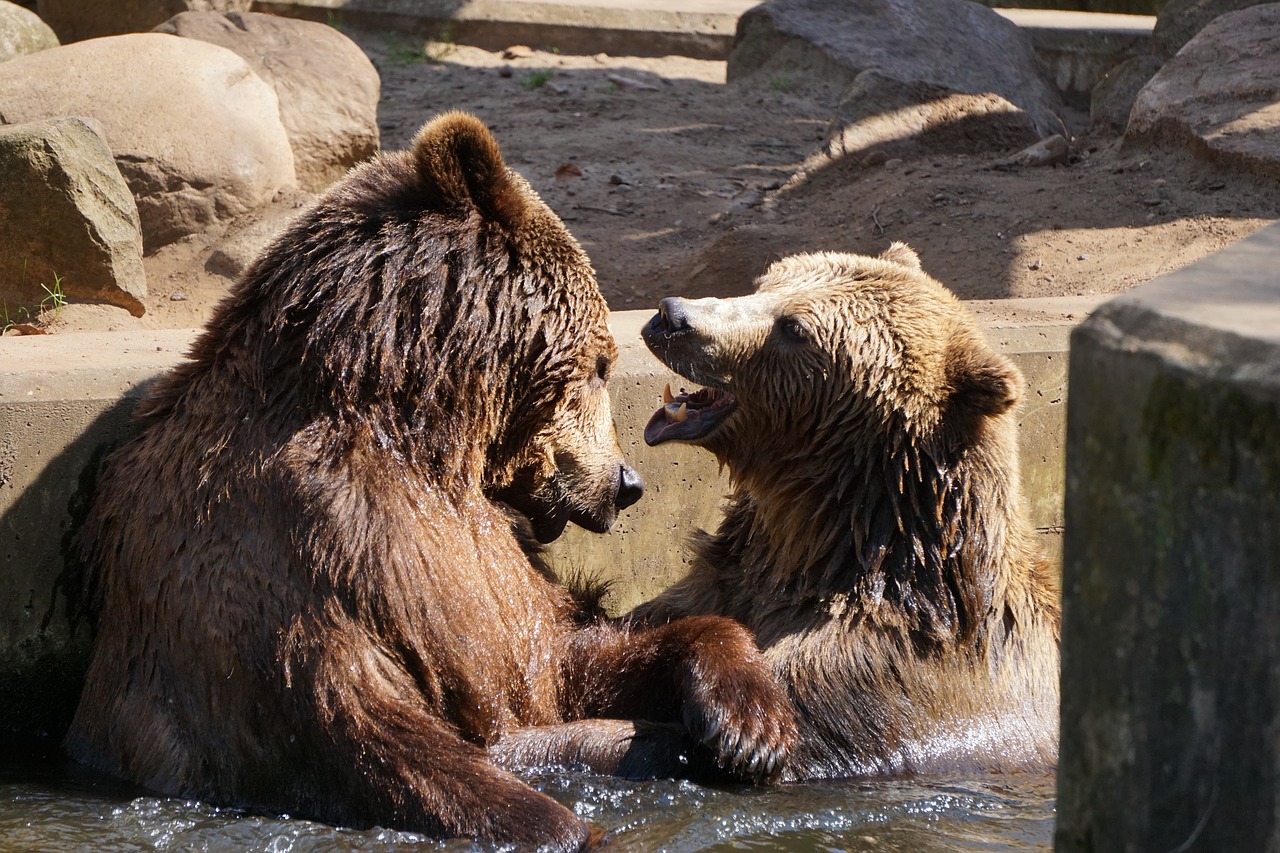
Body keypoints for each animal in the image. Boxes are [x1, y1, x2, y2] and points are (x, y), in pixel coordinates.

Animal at [67, 109, 798, 845]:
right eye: (601, 363)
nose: (627, 482)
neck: (417, 433)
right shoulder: (308, 550)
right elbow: (380, 732)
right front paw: (567, 826)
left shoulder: (491, 571)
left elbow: (566, 652)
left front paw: (751, 725)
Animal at [629, 245, 1059, 778]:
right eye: (765, 282)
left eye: (793, 328)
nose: (672, 315)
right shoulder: (724, 581)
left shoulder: (873, 676)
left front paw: (740, 727)